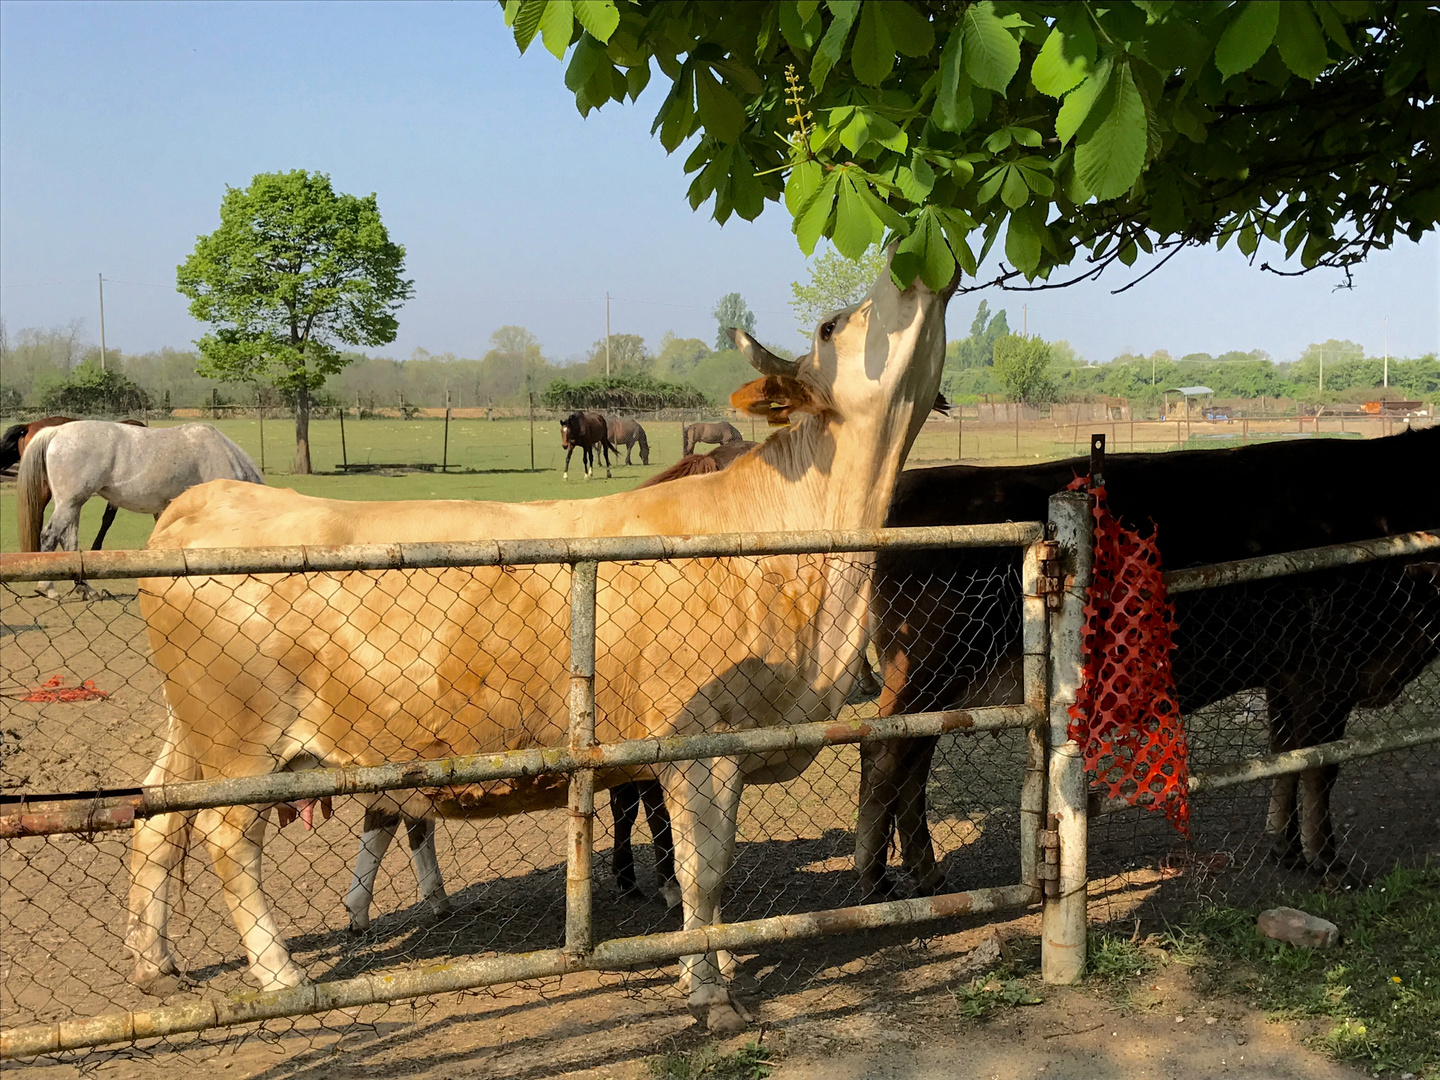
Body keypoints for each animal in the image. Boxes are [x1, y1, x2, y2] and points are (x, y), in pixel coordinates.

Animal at [18, 420, 264, 601]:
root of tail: (56, 431)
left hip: (72, 504)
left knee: (68, 542)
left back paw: (86, 589)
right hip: (70, 503)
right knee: (50, 535)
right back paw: (48, 588)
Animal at [132, 249, 956, 1036]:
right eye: (831, 325)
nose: (913, 258)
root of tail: (211, 498)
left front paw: (711, 965)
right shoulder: (699, 742)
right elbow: (705, 871)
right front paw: (709, 989)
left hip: (191, 730)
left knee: (156, 823)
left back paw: (153, 965)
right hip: (240, 742)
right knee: (225, 839)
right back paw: (280, 976)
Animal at [852, 426, 1440, 898]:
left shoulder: (1287, 675)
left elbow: (1287, 759)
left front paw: (1286, 848)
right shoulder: (1329, 672)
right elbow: (1320, 766)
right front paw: (1328, 861)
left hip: (944, 689)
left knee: (911, 767)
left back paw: (927, 876)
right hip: (926, 670)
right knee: (883, 754)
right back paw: (874, 881)